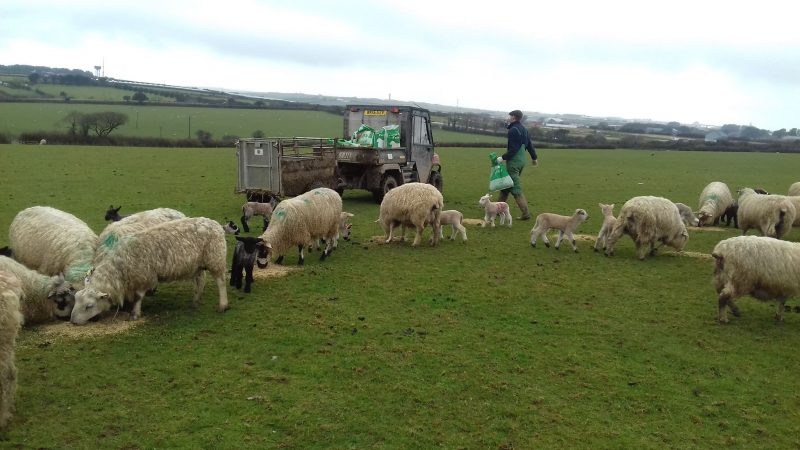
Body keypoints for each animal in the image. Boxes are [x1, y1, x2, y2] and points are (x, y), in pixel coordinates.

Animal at [70, 217, 230, 326]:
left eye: (89, 306)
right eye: (76, 299)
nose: (72, 321)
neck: (120, 266)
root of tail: (216, 224)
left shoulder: (144, 276)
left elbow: (138, 297)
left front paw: (135, 314)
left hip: (215, 257)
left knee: (221, 282)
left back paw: (223, 305)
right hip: (197, 264)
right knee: (200, 280)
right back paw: (196, 300)